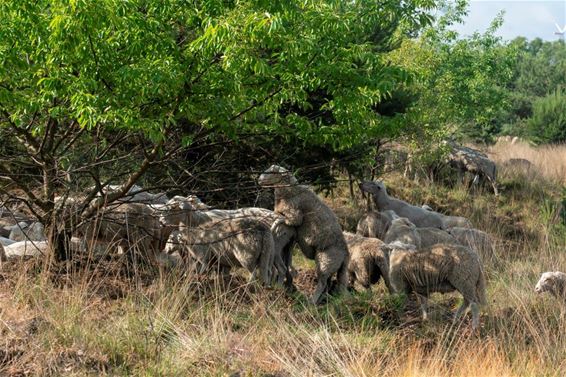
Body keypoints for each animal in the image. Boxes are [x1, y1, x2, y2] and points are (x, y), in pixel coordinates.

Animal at [258, 163, 350, 304]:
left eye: (271, 172)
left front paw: (276, 223)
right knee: (330, 283)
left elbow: (285, 219)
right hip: (335, 267)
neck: (290, 191)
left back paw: (312, 301)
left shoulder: (295, 215)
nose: (259, 179)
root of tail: (346, 255)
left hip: (326, 260)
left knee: (323, 282)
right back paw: (322, 300)